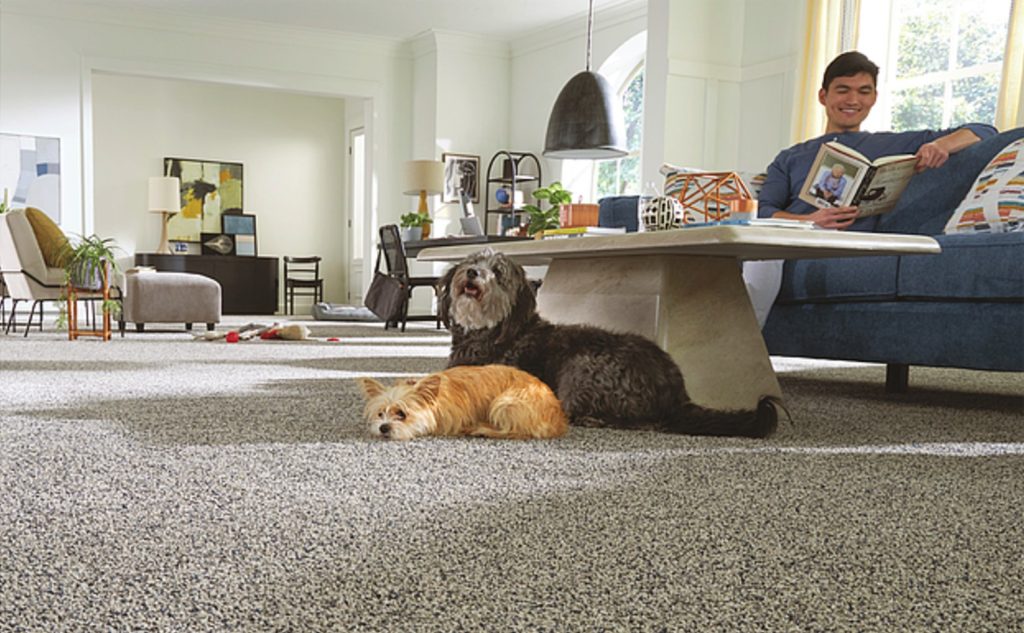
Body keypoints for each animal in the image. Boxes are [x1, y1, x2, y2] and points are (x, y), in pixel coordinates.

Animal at [358, 364, 569, 438]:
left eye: (401, 414)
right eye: (380, 413)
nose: (383, 427)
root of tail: (559, 421)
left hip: (504, 404)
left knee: (516, 431)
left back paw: (481, 430)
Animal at [436, 248, 778, 436]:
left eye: (498, 273)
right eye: (472, 261)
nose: (472, 273)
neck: (491, 331)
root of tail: (675, 391)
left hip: (582, 367)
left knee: (645, 423)